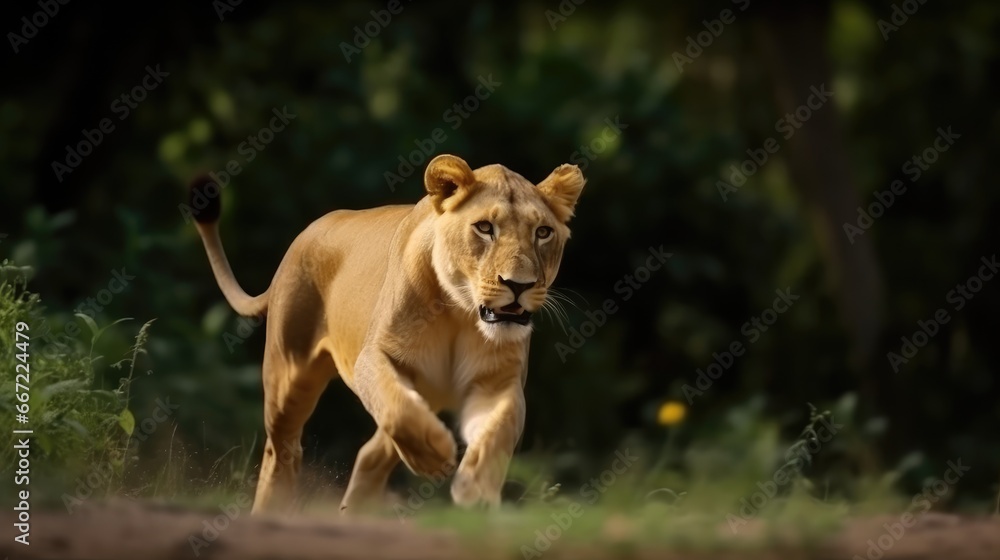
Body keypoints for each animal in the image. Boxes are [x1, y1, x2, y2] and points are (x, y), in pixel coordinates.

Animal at [189, 154, 585, 513]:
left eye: (543, 232)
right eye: (485, 228)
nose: (519, 285)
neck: (460, 314)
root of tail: (307, 232)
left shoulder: (498, 383)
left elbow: (498, 431)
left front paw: (475, 489)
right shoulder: (374, 358)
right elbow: (397, 410)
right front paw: (436, 456)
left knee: (369, 454)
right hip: (288, 374)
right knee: (282, 450)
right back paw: (273, 510)